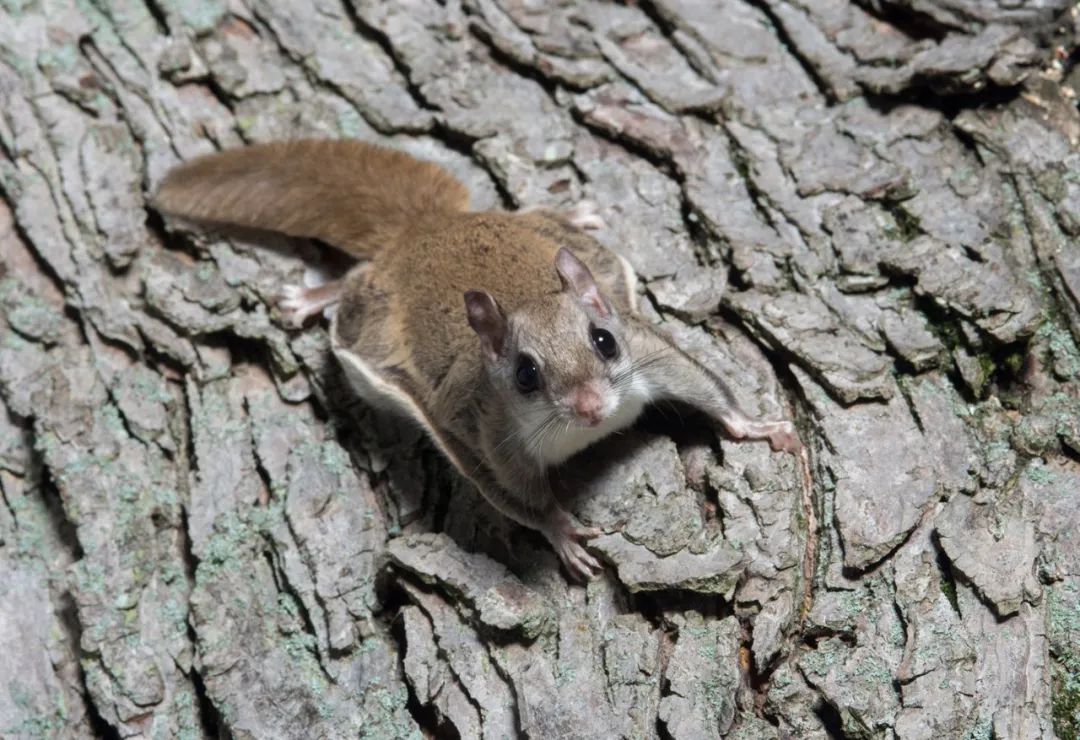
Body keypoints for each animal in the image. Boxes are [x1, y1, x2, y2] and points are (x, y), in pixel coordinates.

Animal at [157, 138, 803, 579]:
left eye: (604, 341)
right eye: (525, 375)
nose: (592, 408)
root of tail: (425, 229)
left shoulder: (651, 353)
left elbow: (706, 386)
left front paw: (757, 426)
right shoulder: (486, 434)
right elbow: (515, 496)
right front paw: (563, 532)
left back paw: (572, 212)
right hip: (372, 318)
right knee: (353, 285)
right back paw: (314, 297)